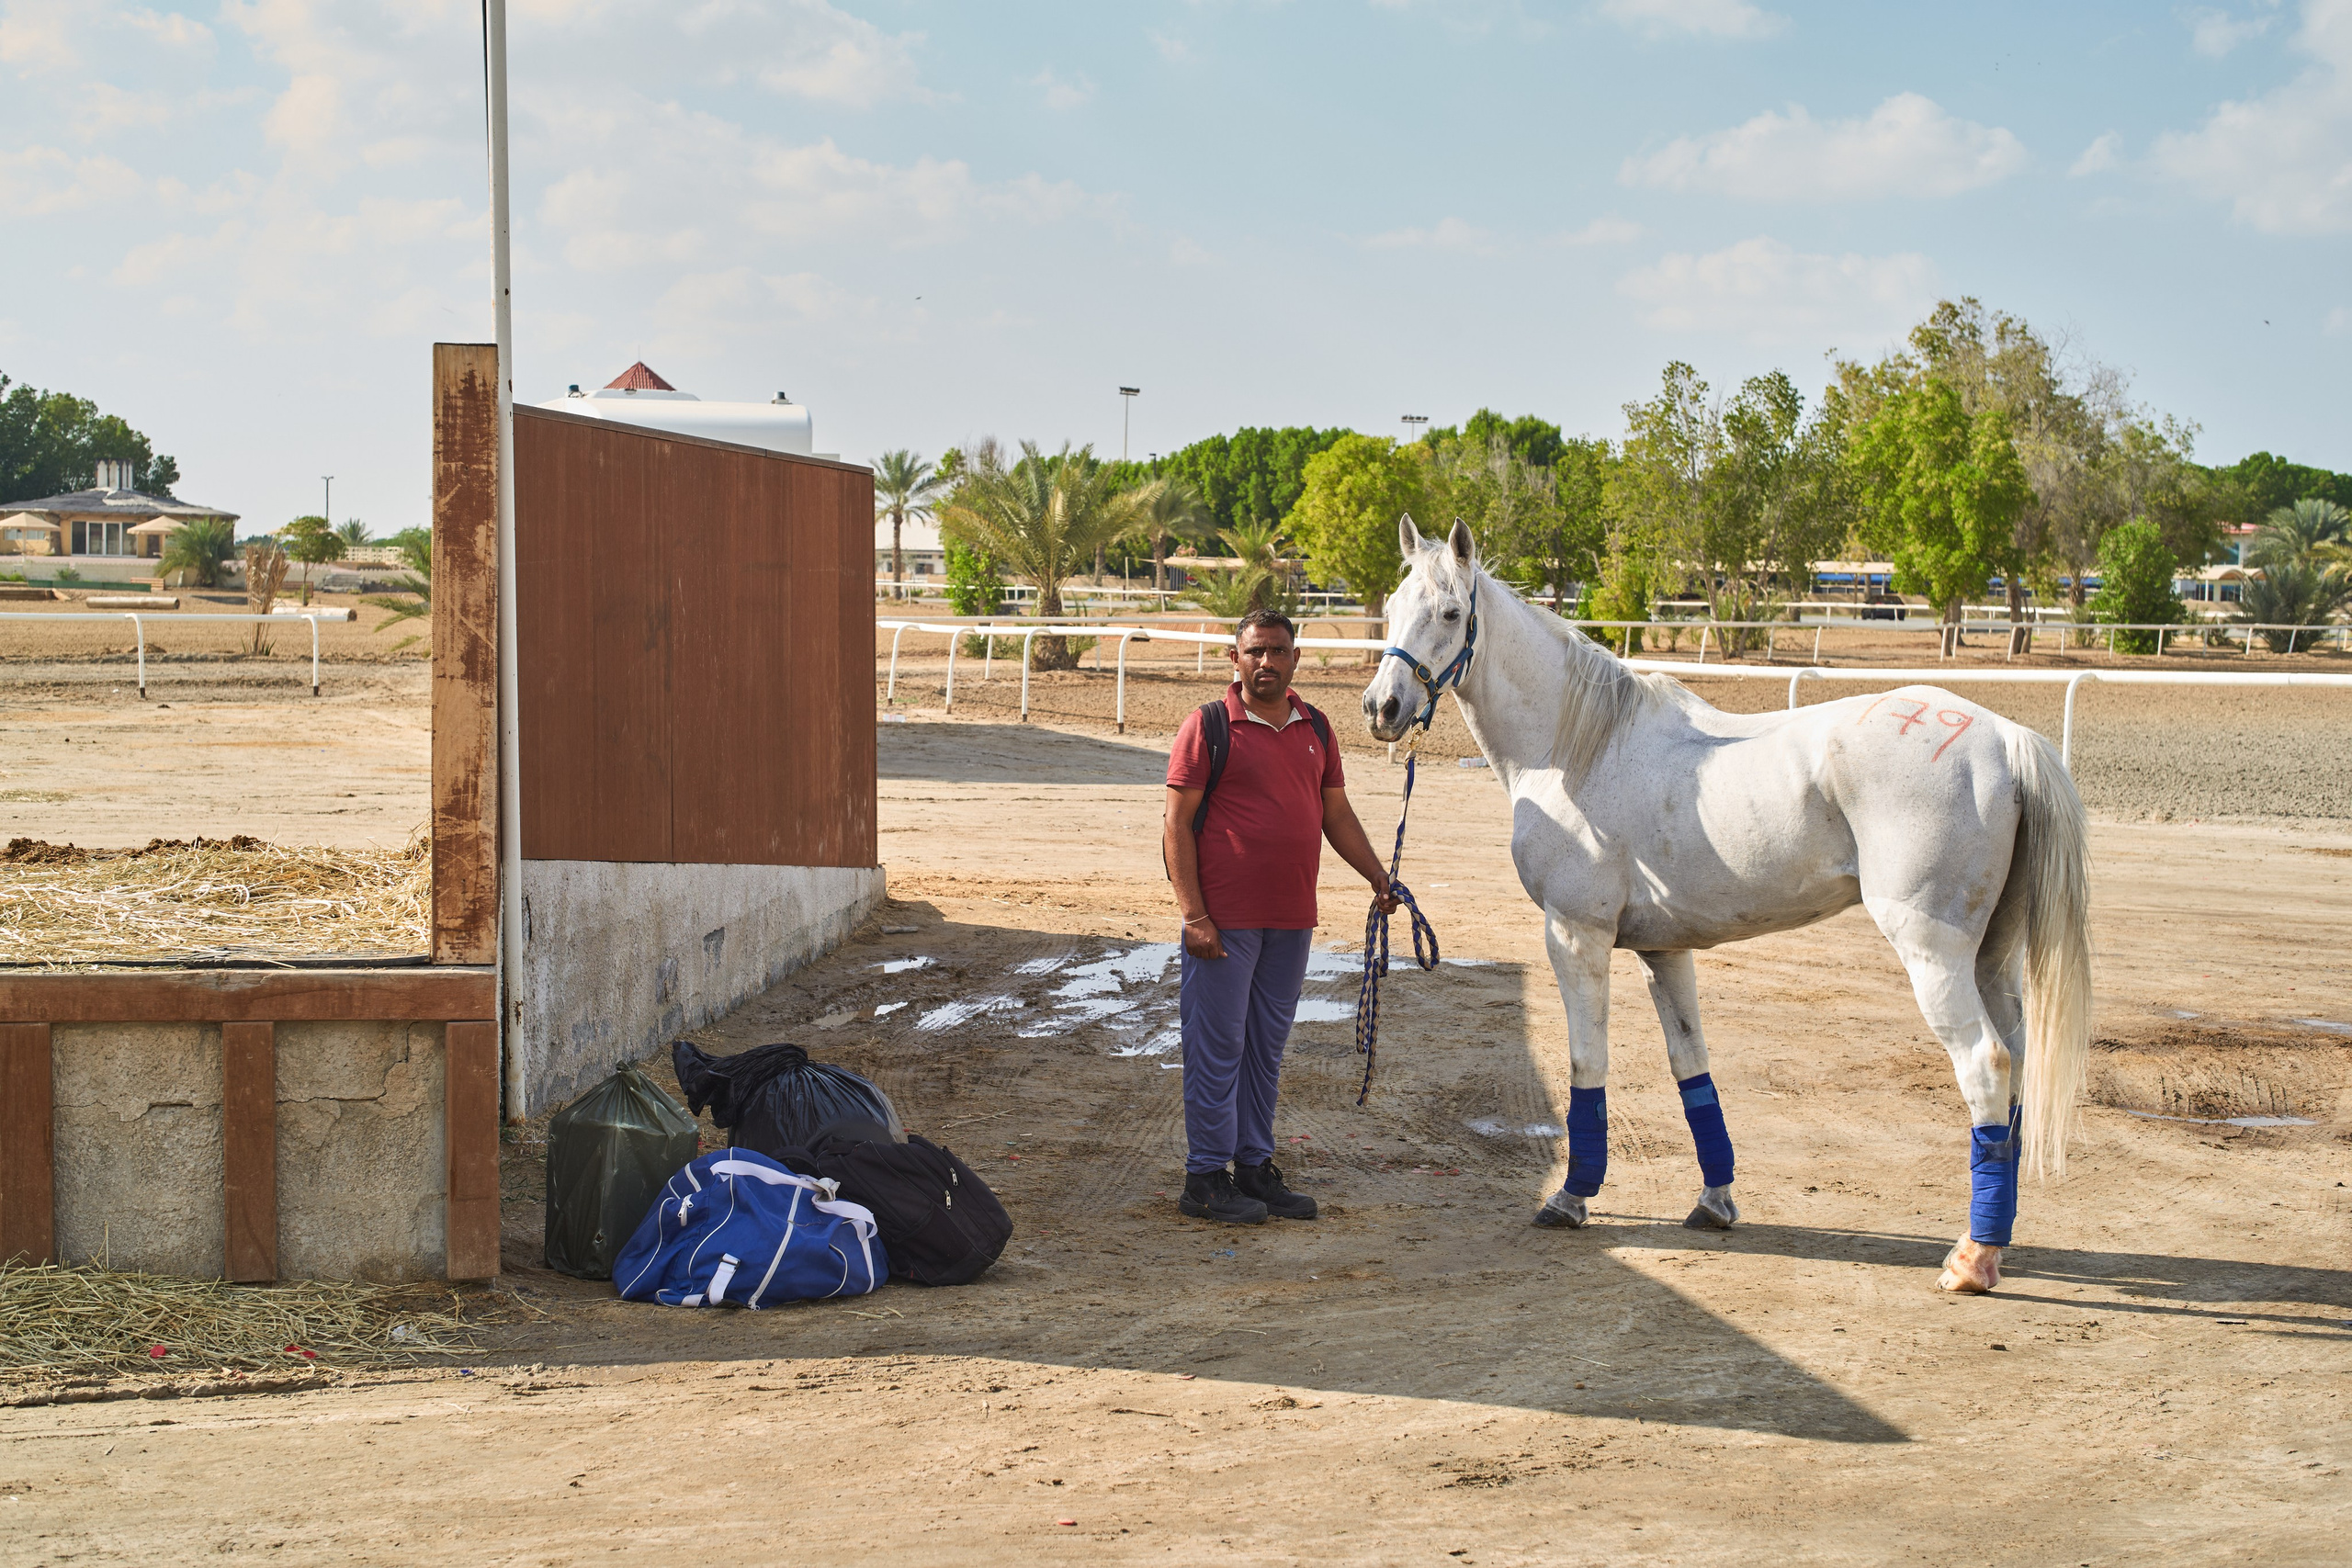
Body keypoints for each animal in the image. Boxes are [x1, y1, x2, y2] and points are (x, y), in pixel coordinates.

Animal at [1360, 517, 2091, 1294]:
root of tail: (2003, 738)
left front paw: (1572, 1194)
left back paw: (1973, 1259)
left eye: (1450, 612)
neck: (1579, 748)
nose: (1382, 708)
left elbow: (1588, 1063)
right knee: (2016, 1062)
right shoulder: (1663, 949)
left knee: (1985, 1063)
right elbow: (1692, 1068)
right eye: (1394, 602)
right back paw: (1996, 1238)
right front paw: (1715, 1199)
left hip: (1933, 952)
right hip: (1990, 957)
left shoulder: (1576, 934)